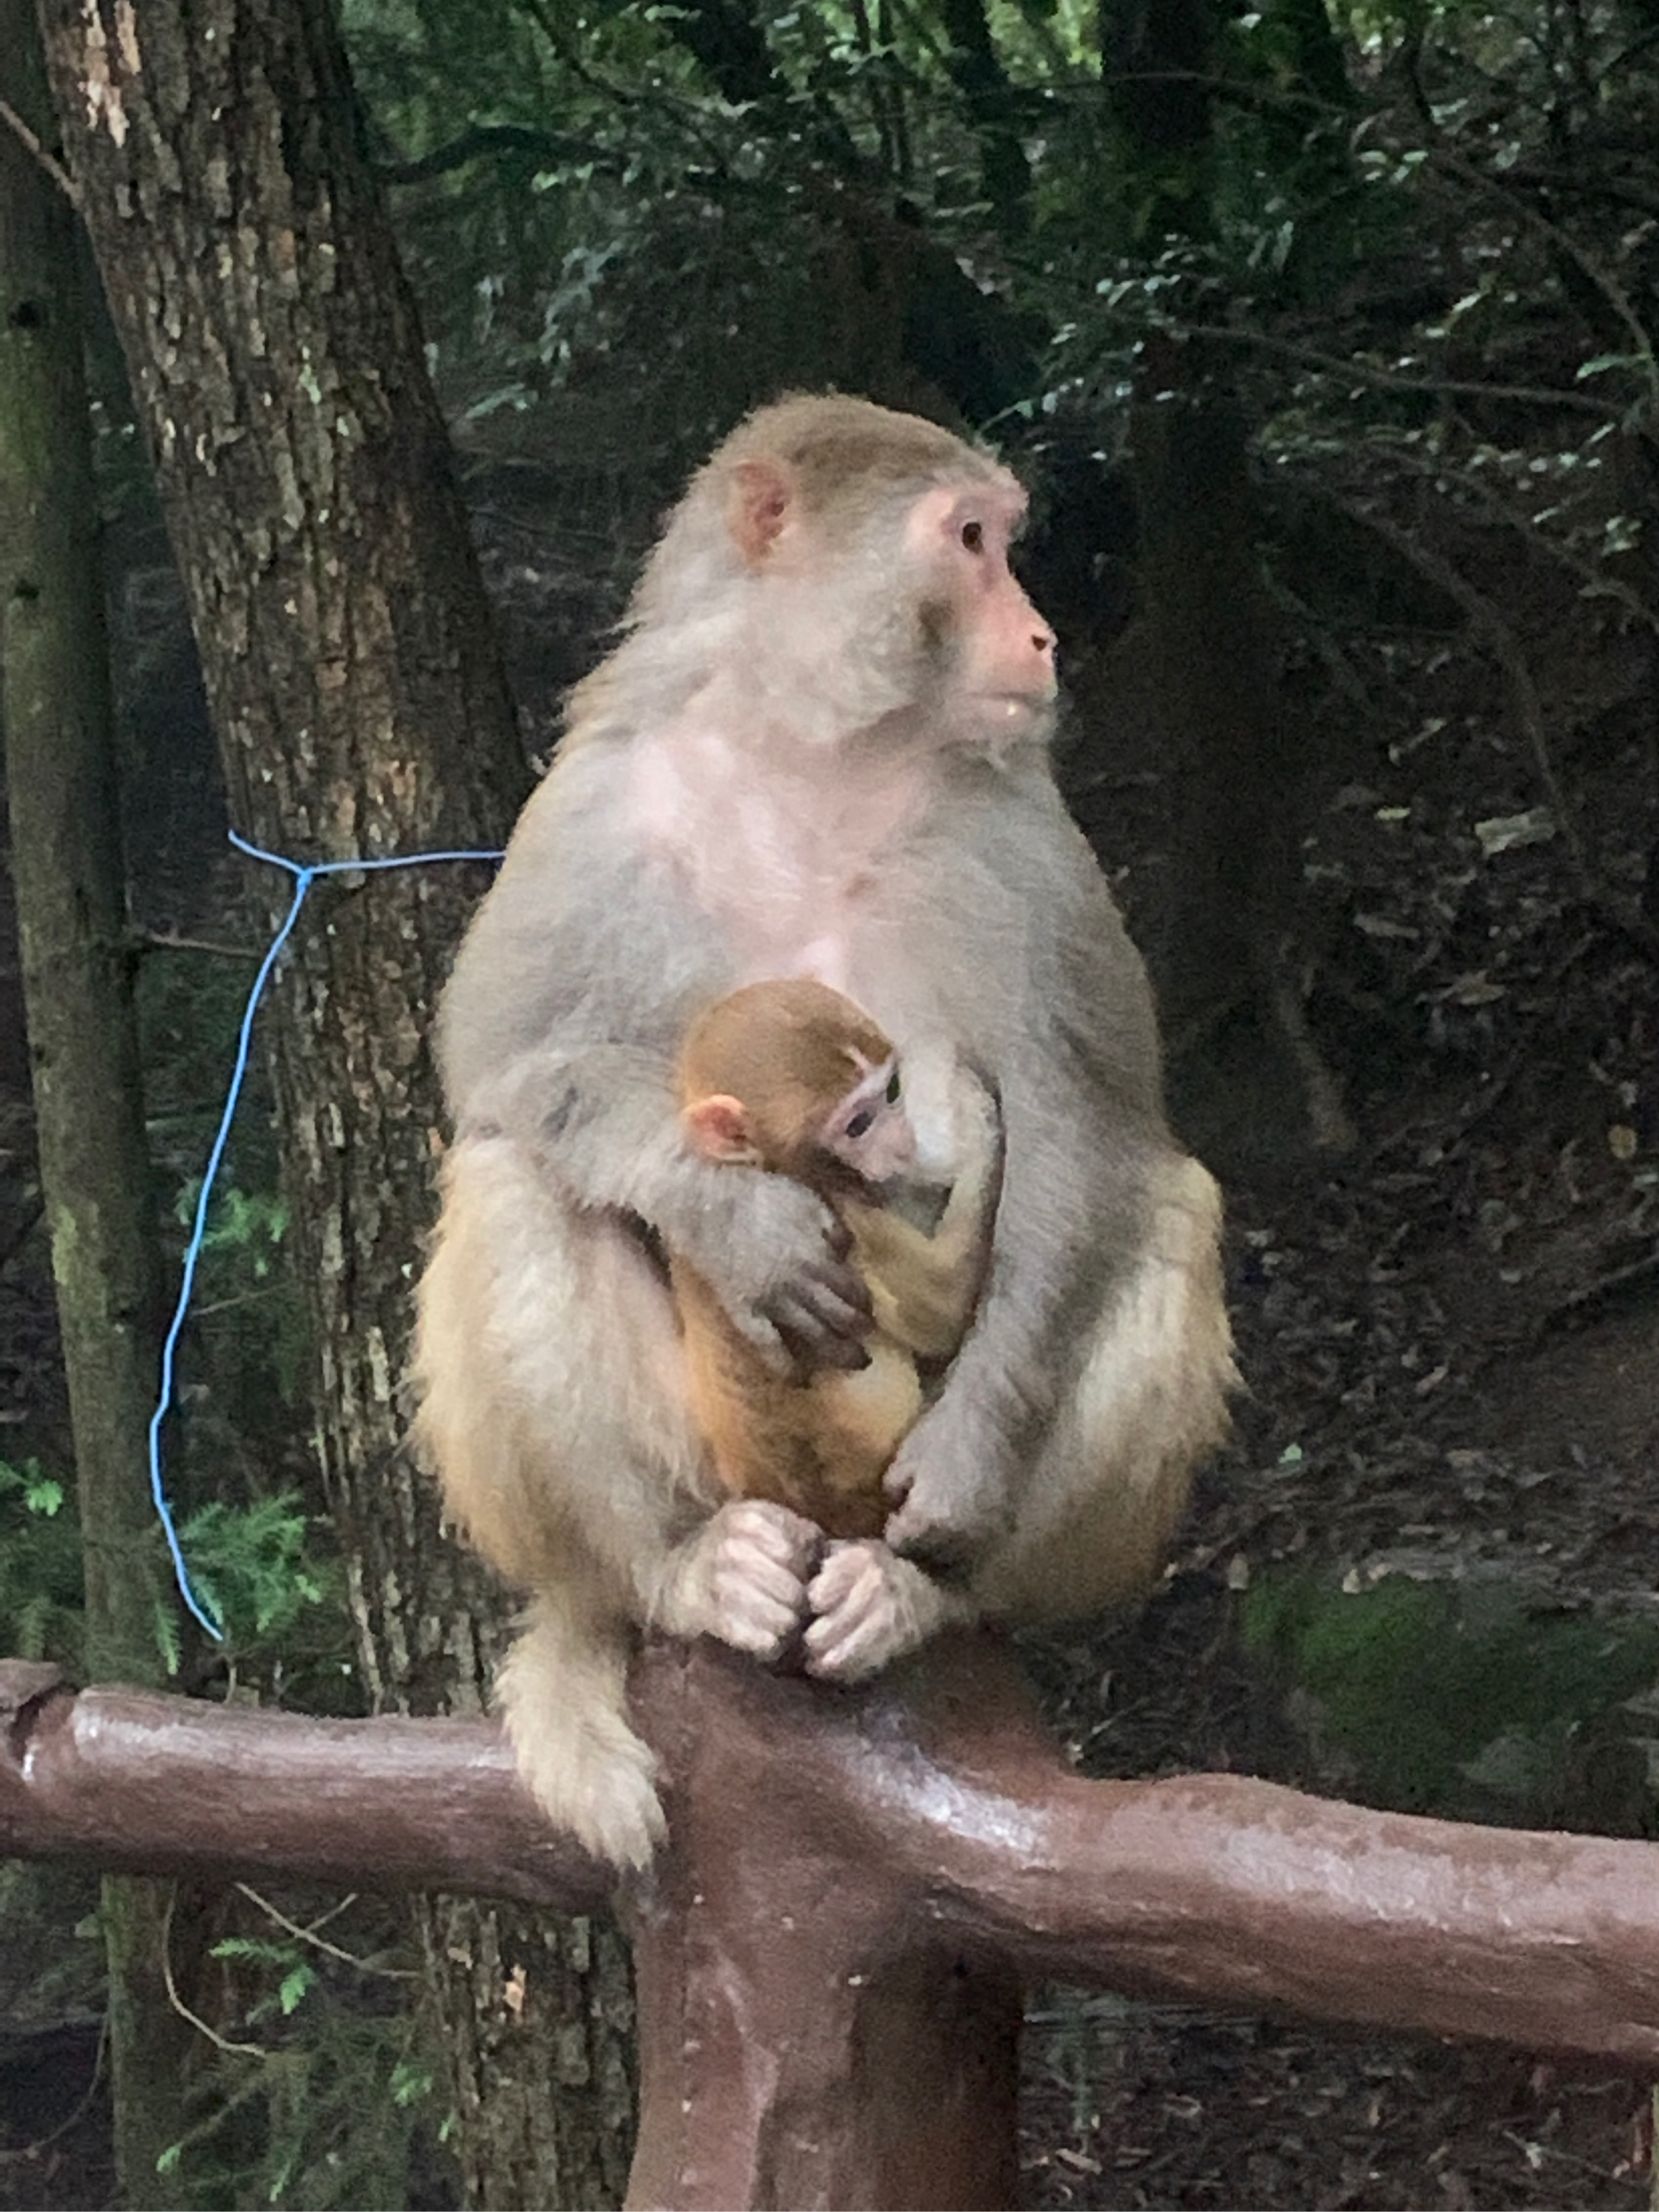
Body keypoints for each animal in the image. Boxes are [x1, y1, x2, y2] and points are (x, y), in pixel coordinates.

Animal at [677, 986, 1000, 1539]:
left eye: (891, 1091)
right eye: (858, 1124)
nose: (904, 1143)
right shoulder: (836, 1216)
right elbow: (940, 1312)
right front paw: (972, 1117)